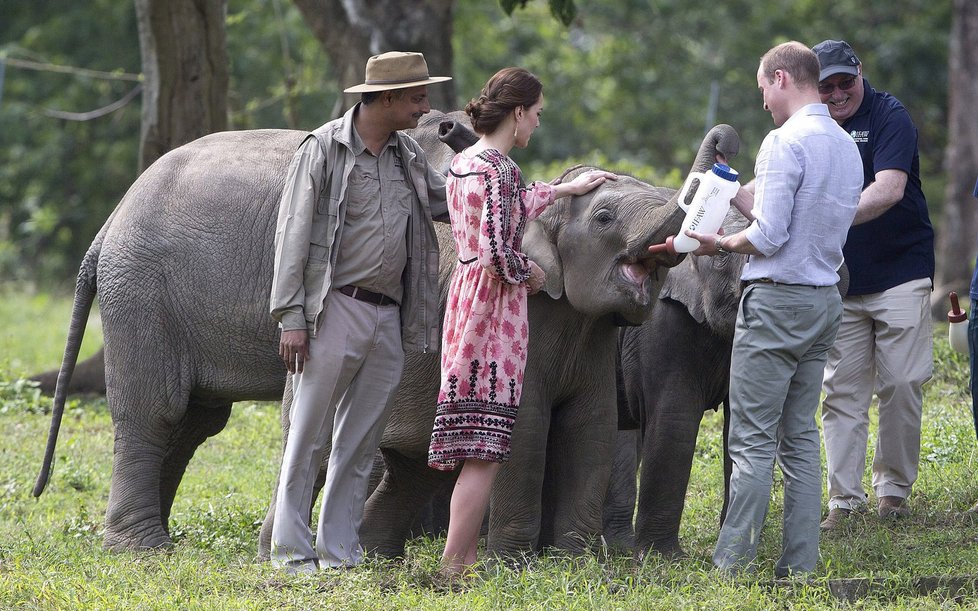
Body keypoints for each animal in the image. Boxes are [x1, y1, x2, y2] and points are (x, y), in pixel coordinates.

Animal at [252, 123, 740, 560]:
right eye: (604, 219)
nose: (725, 138)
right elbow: (527, 430)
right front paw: (513, 564)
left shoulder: (596, 341)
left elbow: (592, 426)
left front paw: (575, 562)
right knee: (316, 450)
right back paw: (286, 555)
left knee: (415, 468)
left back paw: (375, 557)